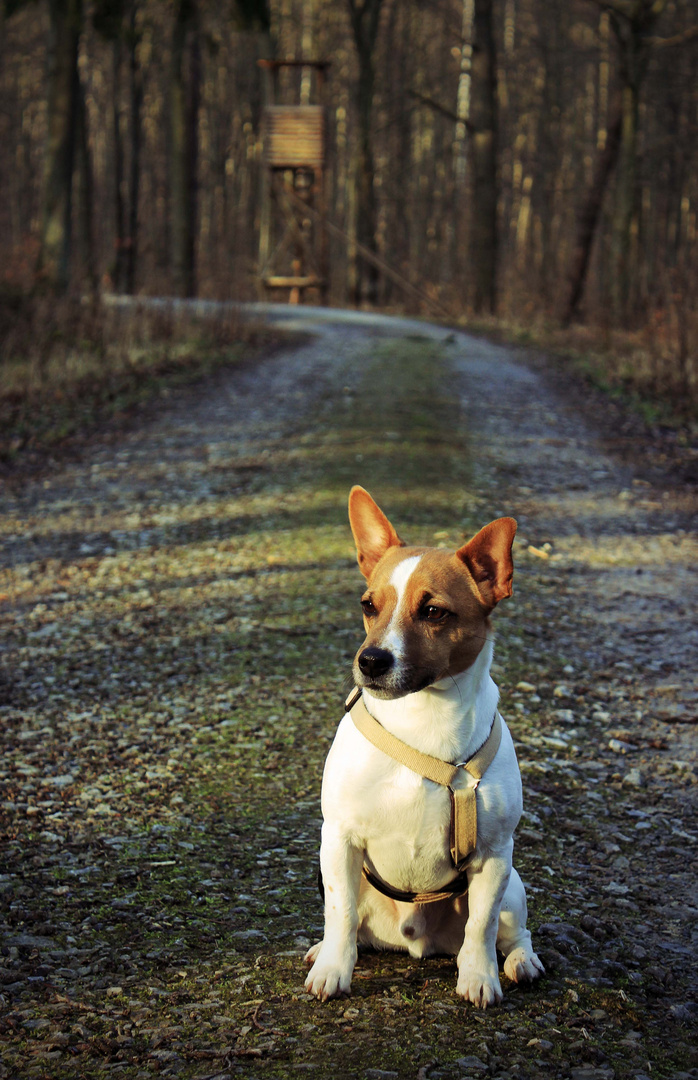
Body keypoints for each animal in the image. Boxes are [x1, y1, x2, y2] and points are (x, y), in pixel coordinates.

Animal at [306, 486, 546, 1006]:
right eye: (368, 605)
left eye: (433, 612)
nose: (370, 660)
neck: (425, 720)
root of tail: (418, 941)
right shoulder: (339, 838)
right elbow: (339, 913)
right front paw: (333, 969)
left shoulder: (494, 855)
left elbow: (481, 926)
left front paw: (479, 977)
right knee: (351, 923)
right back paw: (324, 950)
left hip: (514, 886)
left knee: (511, 931)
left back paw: (520, 962)